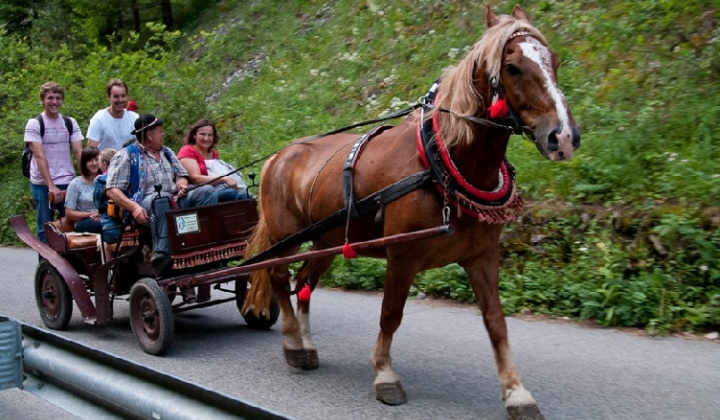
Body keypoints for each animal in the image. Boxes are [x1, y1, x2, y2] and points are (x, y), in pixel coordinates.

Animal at [242, 4, 580, 420]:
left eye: (555, 60)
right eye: (513, 67)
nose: (564, 137)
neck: (442, 161)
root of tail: (278, 155)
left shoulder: (481, 256)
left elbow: (496, 323)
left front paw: (517, 392)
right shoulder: (402, 256)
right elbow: (391, 313)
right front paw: (385, 374)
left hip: (327, 241)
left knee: (304, 282)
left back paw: (306, 344)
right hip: (286, 236)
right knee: (278, 277)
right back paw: (292, 343)